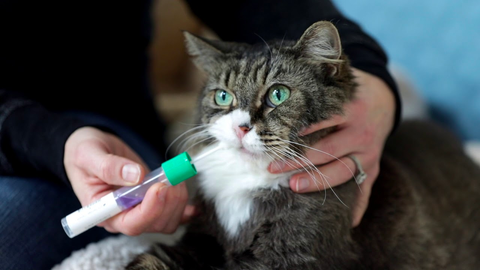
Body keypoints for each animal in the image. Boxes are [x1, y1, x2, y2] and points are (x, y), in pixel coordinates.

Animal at [126, 21, 480, 270]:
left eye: (278, 94)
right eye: (223, 96)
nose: (240, 127)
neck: (248, 182)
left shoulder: (292, 256)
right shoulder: (198, 237)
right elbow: (152, 259)